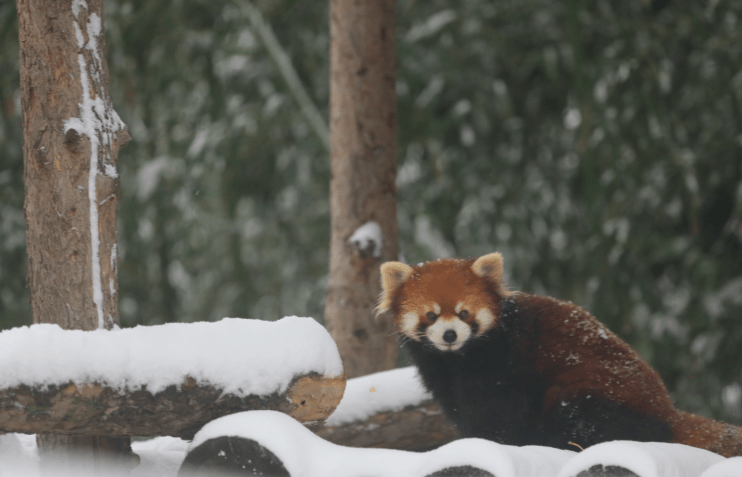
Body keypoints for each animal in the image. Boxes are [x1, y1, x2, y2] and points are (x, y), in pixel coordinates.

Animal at [380, 253, 740, 458]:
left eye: (464, 313)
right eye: (431, 316)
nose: (450, 335)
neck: (458, 358)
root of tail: (667, 410)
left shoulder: (504, 367)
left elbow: (500, 415)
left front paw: (493, 442)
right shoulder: (443, 376)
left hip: (592, 392)